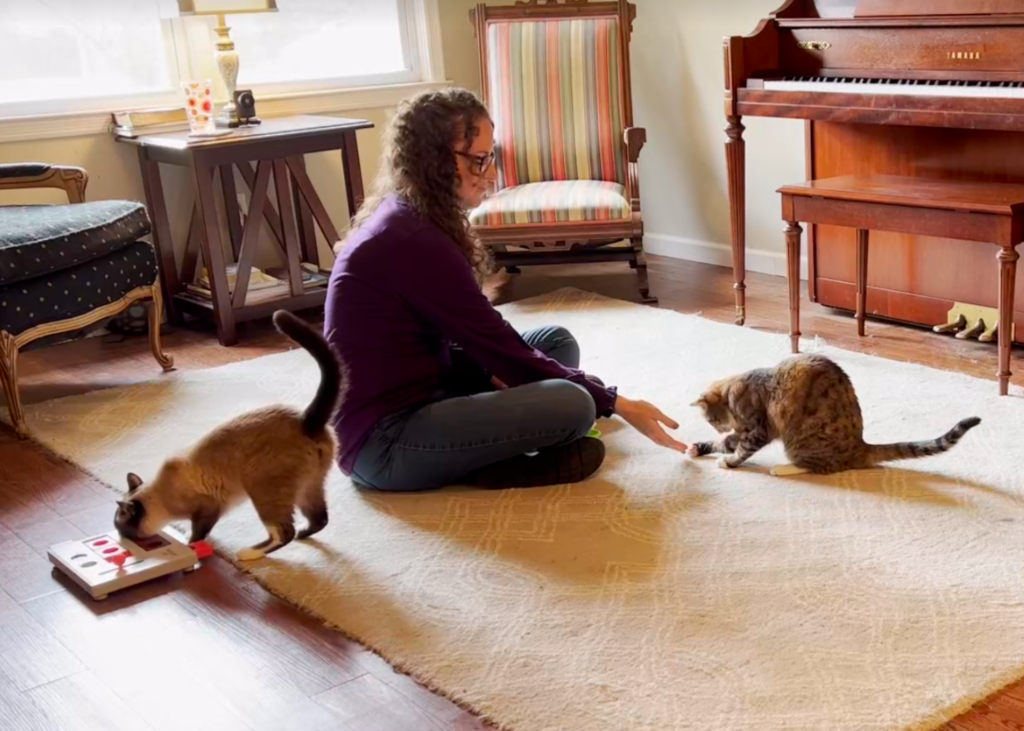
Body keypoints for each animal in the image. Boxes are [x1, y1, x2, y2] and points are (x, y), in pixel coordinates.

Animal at [115, 309, 348, 556]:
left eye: (120, 526)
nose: (122, 538)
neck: (161, 494)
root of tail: (306, 420)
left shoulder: (207, 509)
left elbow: (197, 533)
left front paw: (191, 546)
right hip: (308, 487)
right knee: (319, 518)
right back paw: (303, 534)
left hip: (261, 489)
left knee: (284, 532)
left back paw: (249, 553)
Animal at [692, 352, 978, 475]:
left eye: (712, 419)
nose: (716, 425)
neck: (735, 392)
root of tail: (860, 446)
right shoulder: (741, 431)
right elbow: (724, 443)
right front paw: (699, 447)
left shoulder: (756, 430)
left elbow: (739, 450)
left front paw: (728, 462)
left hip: (800, 441)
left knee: (821, 467)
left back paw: (782, 468)